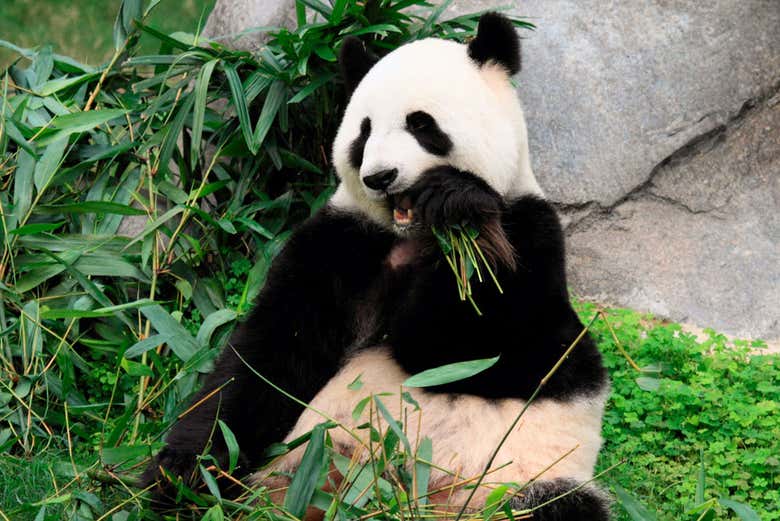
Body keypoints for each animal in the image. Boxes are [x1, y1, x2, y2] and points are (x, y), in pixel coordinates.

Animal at [142, 12, 611, 520]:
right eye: (363, 132)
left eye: (421, 124)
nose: (380, 177)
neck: (410, 237)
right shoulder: (342, 244)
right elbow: (269, 356)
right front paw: (181, 473)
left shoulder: (529, 231)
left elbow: (489, 344)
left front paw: (456, 209)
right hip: (299, 465)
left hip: (519, 483)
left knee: (559, 505)